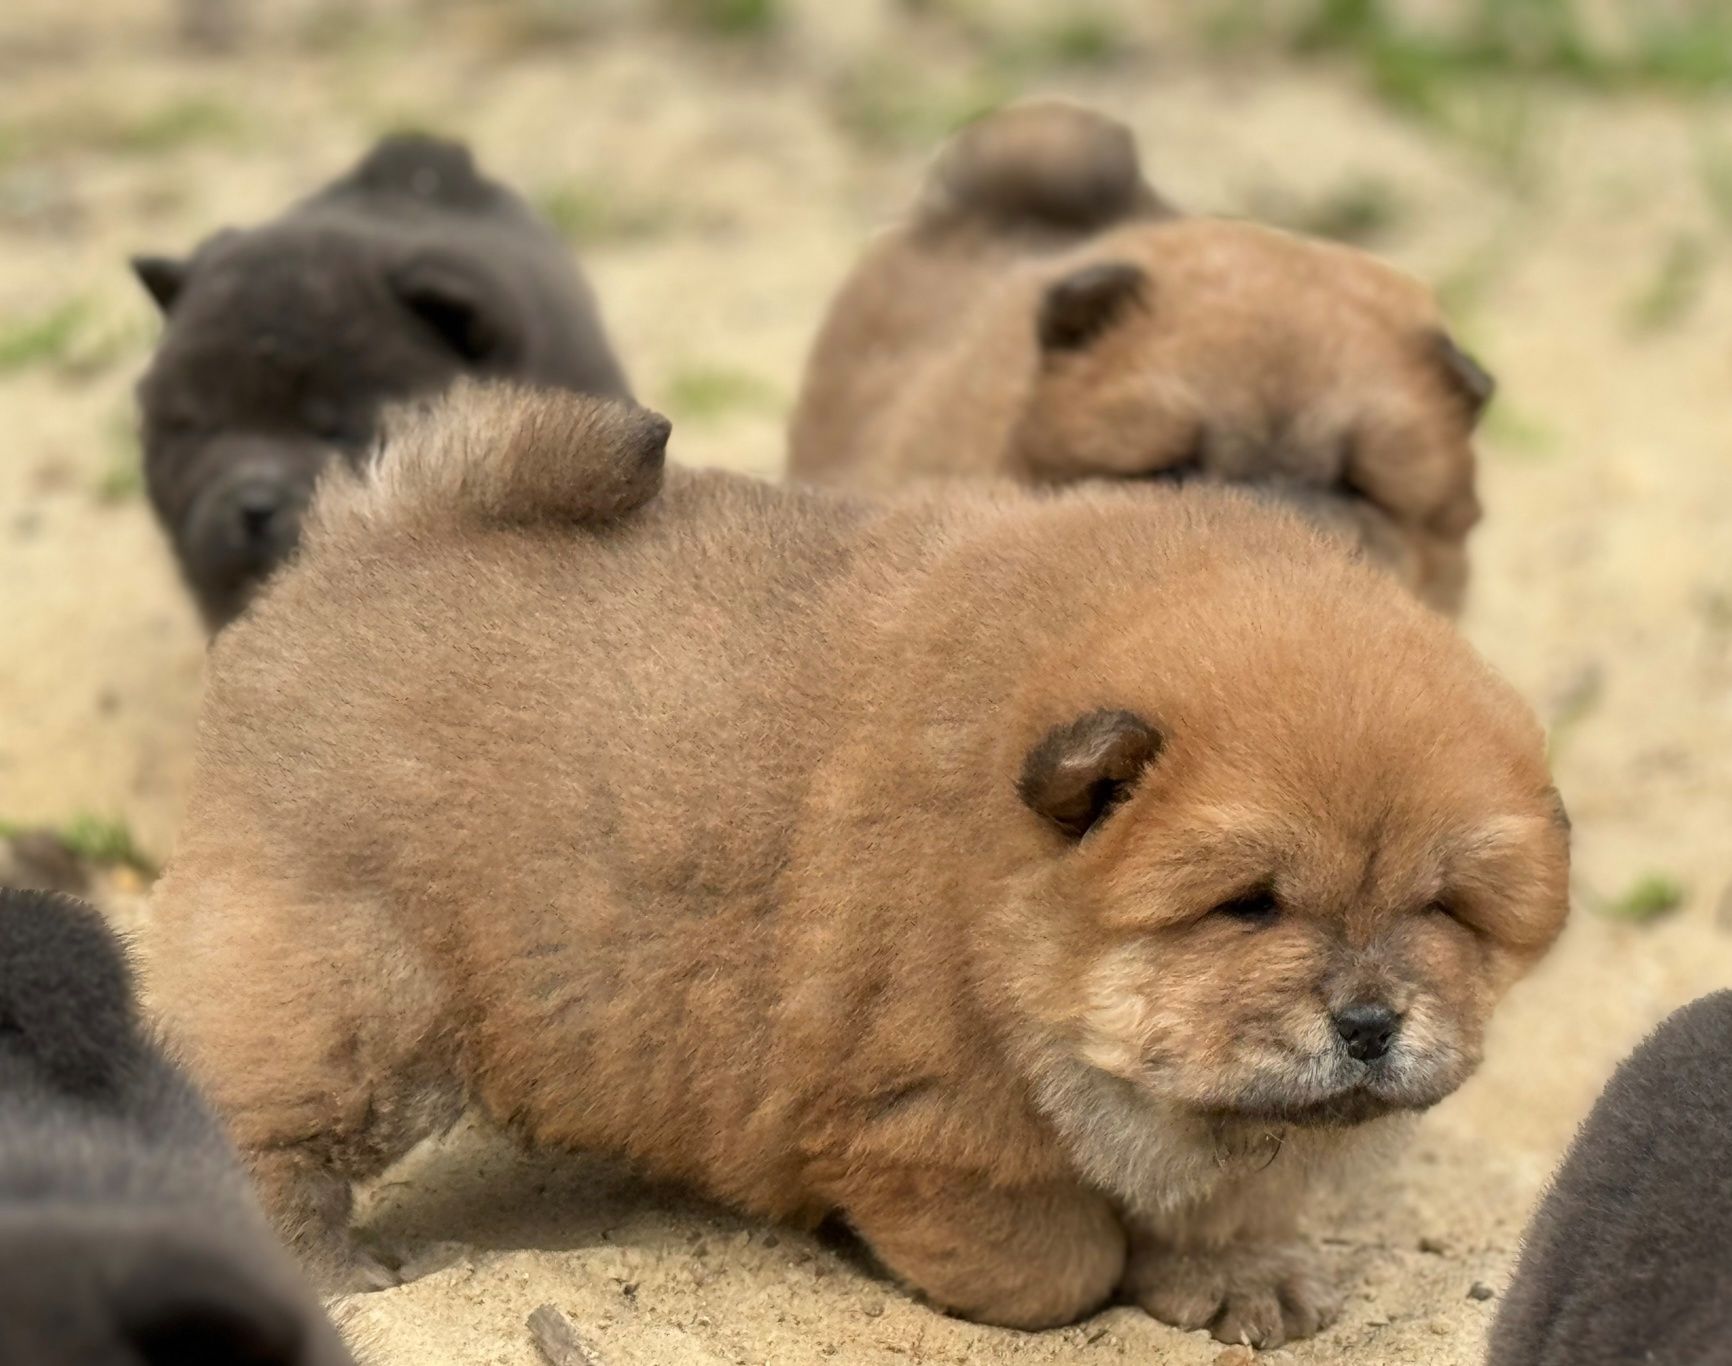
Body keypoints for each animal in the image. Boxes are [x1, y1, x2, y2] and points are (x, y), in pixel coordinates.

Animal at [155, 380, 1579, 1343]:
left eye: (1442, 909)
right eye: (1249, 905)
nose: (1370, 1020)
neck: (988, 889)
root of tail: (365, 538)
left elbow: (1227, 1197)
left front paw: (1236, 1277)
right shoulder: (918, 1125)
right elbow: (1049, 1262)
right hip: (360, 996)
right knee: (267, 1135)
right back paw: (328, 1270)